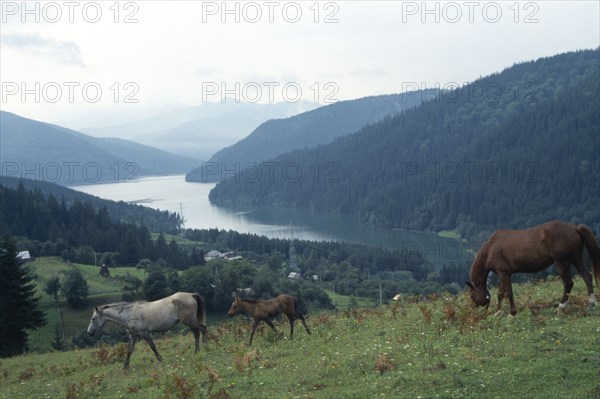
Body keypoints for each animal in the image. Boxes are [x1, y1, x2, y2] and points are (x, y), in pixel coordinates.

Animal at [468, 220, 600, 318]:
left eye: (472, 297)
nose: (477, 315)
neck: (491, 249)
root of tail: (575, 228)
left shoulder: (504, 273)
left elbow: (509, 293)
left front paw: (512, 313)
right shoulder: (502, 274)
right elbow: (501, 293)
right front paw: (498, 312)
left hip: (562, 263)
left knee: (568, 283)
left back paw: (561, 307)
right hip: (577, 259)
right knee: (587, 277)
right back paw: (591, 302)